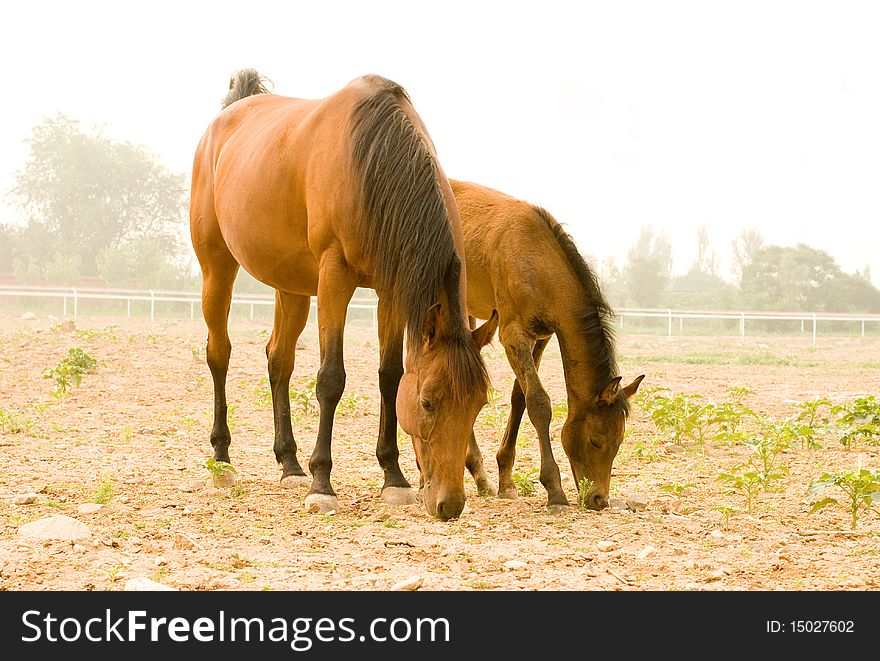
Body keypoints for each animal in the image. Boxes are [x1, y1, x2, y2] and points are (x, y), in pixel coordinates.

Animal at [191, 69, 496, 520]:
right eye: (428, 403)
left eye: (478, 406)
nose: (449, 503)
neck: (371, 160)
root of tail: (230, 113)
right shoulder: (334, 278)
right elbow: (331, 378)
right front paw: (322, 484)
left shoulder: (390, 288)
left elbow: (390, 375)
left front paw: (393, 478)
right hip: (217, 267)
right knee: (219, 354)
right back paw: (223, 461)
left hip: (292, 286)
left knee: (278, 360)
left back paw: (290, 464)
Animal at [454, 180, 648, 510]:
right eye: (595, 440)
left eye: (619, 441)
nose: (599, 498)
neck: (534, 257)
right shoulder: (513, 334)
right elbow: (539, 402)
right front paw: (554, 490)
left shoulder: (541, 336)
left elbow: (520, 397)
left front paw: (506, 481)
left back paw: (479, 475)